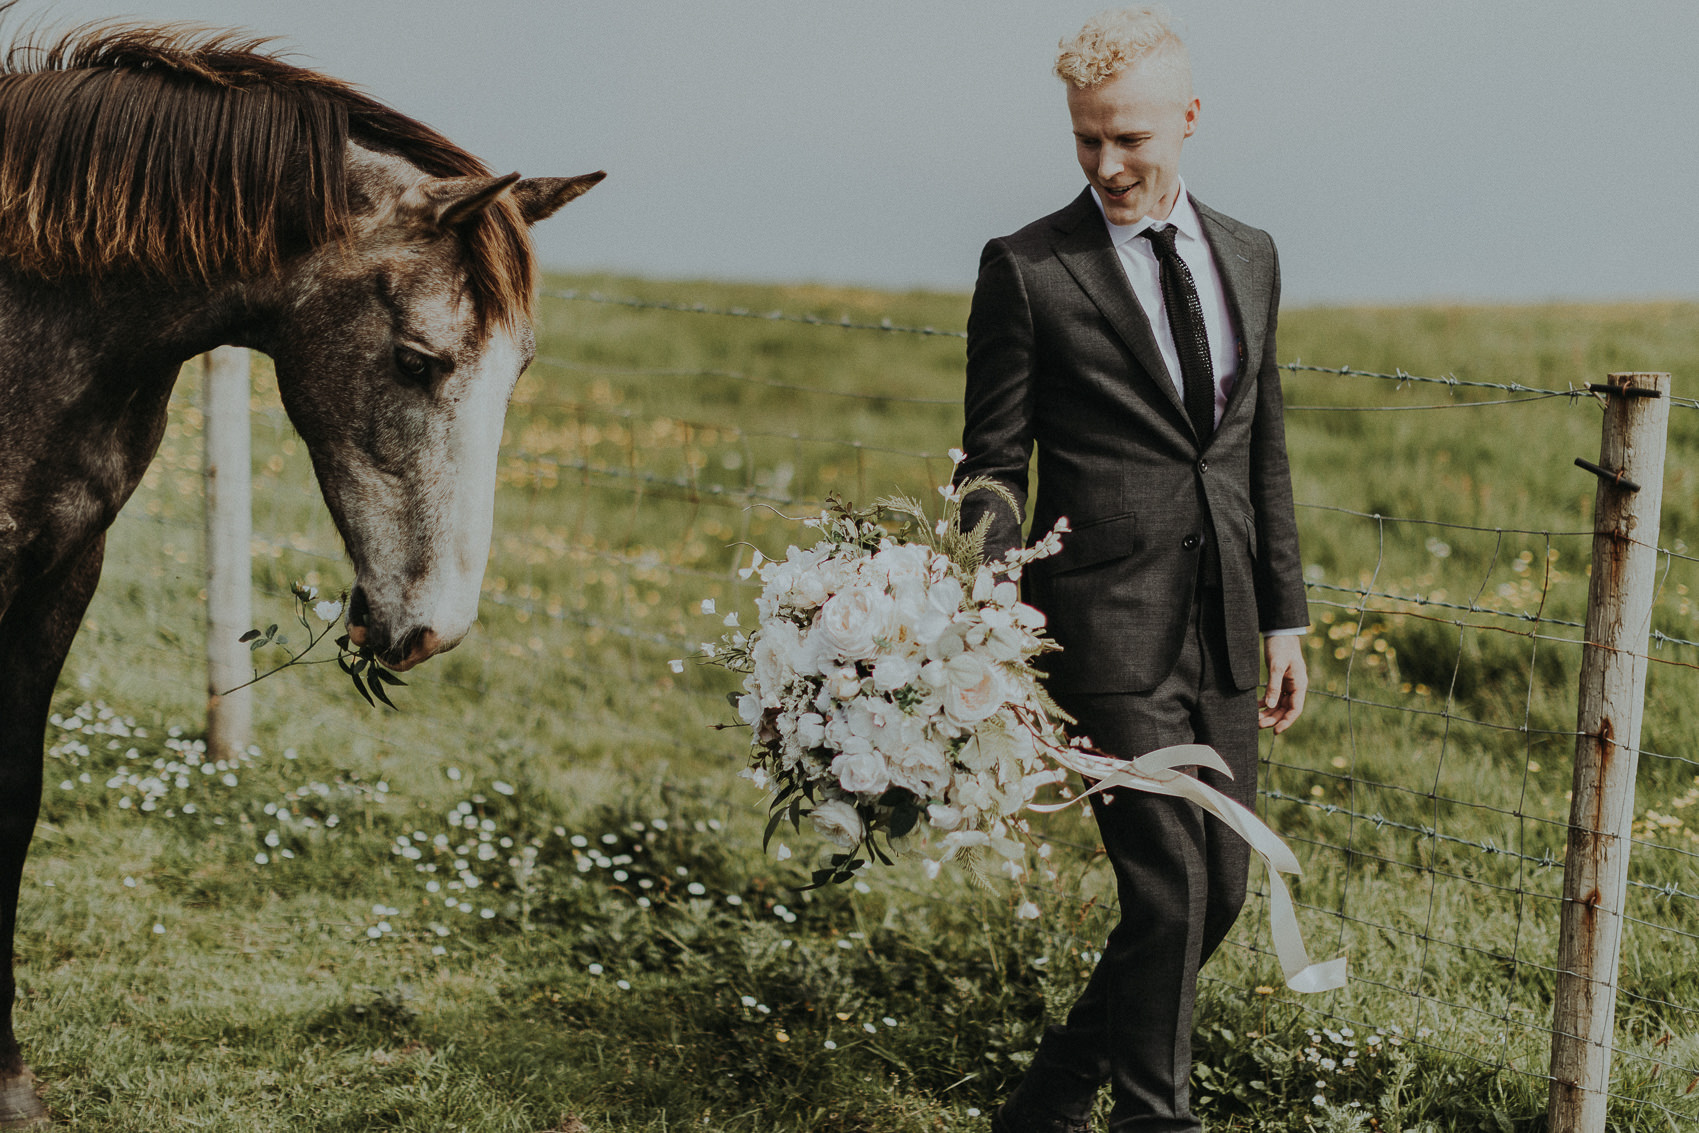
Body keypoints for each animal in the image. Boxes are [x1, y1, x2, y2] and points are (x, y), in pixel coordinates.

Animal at [0, 11, 604, 1127]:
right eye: (416, 361)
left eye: (521, 372)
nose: (434, 627)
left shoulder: (61, 575)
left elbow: (16, 800)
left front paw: (9, 1075)